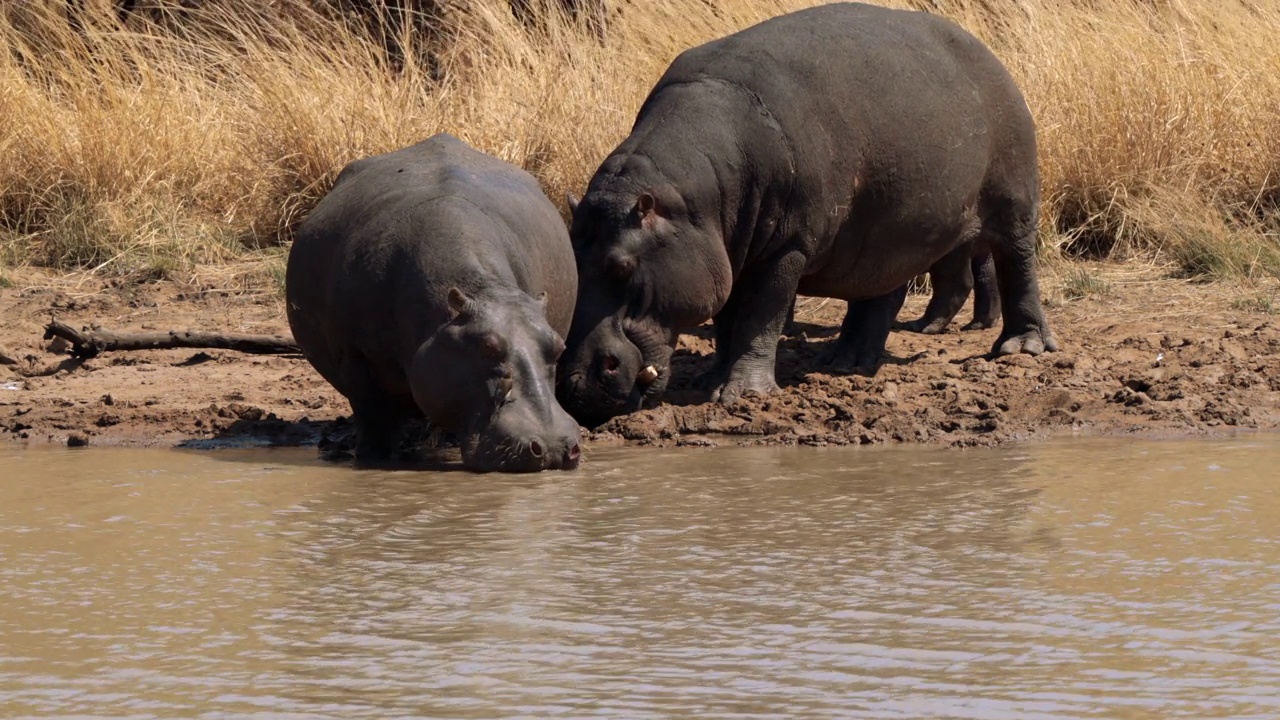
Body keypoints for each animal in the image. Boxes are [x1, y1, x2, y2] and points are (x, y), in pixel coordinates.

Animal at [288, 133, 583, 471]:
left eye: (558, 346)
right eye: (487, 346)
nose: (553, 447)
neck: (483, 290)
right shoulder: (355, 358)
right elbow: (373, 422)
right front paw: (372, 459)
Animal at [555, 2, 1054, 425]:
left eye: (622, 266)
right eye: (572, 266)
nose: (575, 385)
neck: (688, 198)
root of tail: (987, 53)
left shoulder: (785, 249)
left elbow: (760, 316)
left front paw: (743, 394)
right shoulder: (729, 253)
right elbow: (728, 319)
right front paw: (709, 381)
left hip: (1012, 204)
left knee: (1018, 266)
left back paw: (1020, 347)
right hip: (888, 230)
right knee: (879, 297)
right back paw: (843, 362)